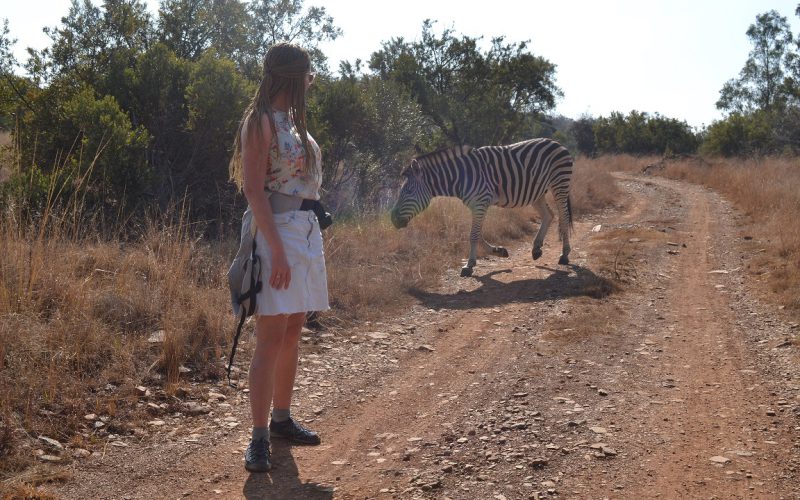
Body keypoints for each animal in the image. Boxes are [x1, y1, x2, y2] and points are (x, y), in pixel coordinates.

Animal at [390, 138, 572, 278]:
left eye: (408, 192)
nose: (392, 220)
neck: (460, 177)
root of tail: (556, 143)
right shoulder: (477, 204)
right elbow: (477, 234)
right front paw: (498, 251)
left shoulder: (480, 202)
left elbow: (473, 235)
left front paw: (469, 266)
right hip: (536, 192)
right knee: (549, 215)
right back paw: (536, 249)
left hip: (559, 184)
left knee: (563, 218)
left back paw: (564, 255)